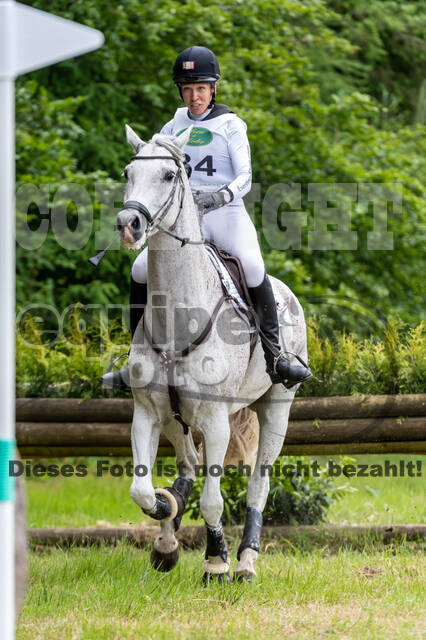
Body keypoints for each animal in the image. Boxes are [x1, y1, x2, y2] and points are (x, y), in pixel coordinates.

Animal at [115, 124, 310, 581]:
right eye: (129, 173)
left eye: (170, 175)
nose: (129, 224)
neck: (176, 319)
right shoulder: (148, 413)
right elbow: (142, 489)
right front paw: (166, 513)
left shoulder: (217, 421)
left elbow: (213, 500)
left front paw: (216, 561)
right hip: (176, 420)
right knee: (187, 463)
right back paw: (169, 534)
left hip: (276, 409)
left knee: (258, 483)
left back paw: (245, 560)